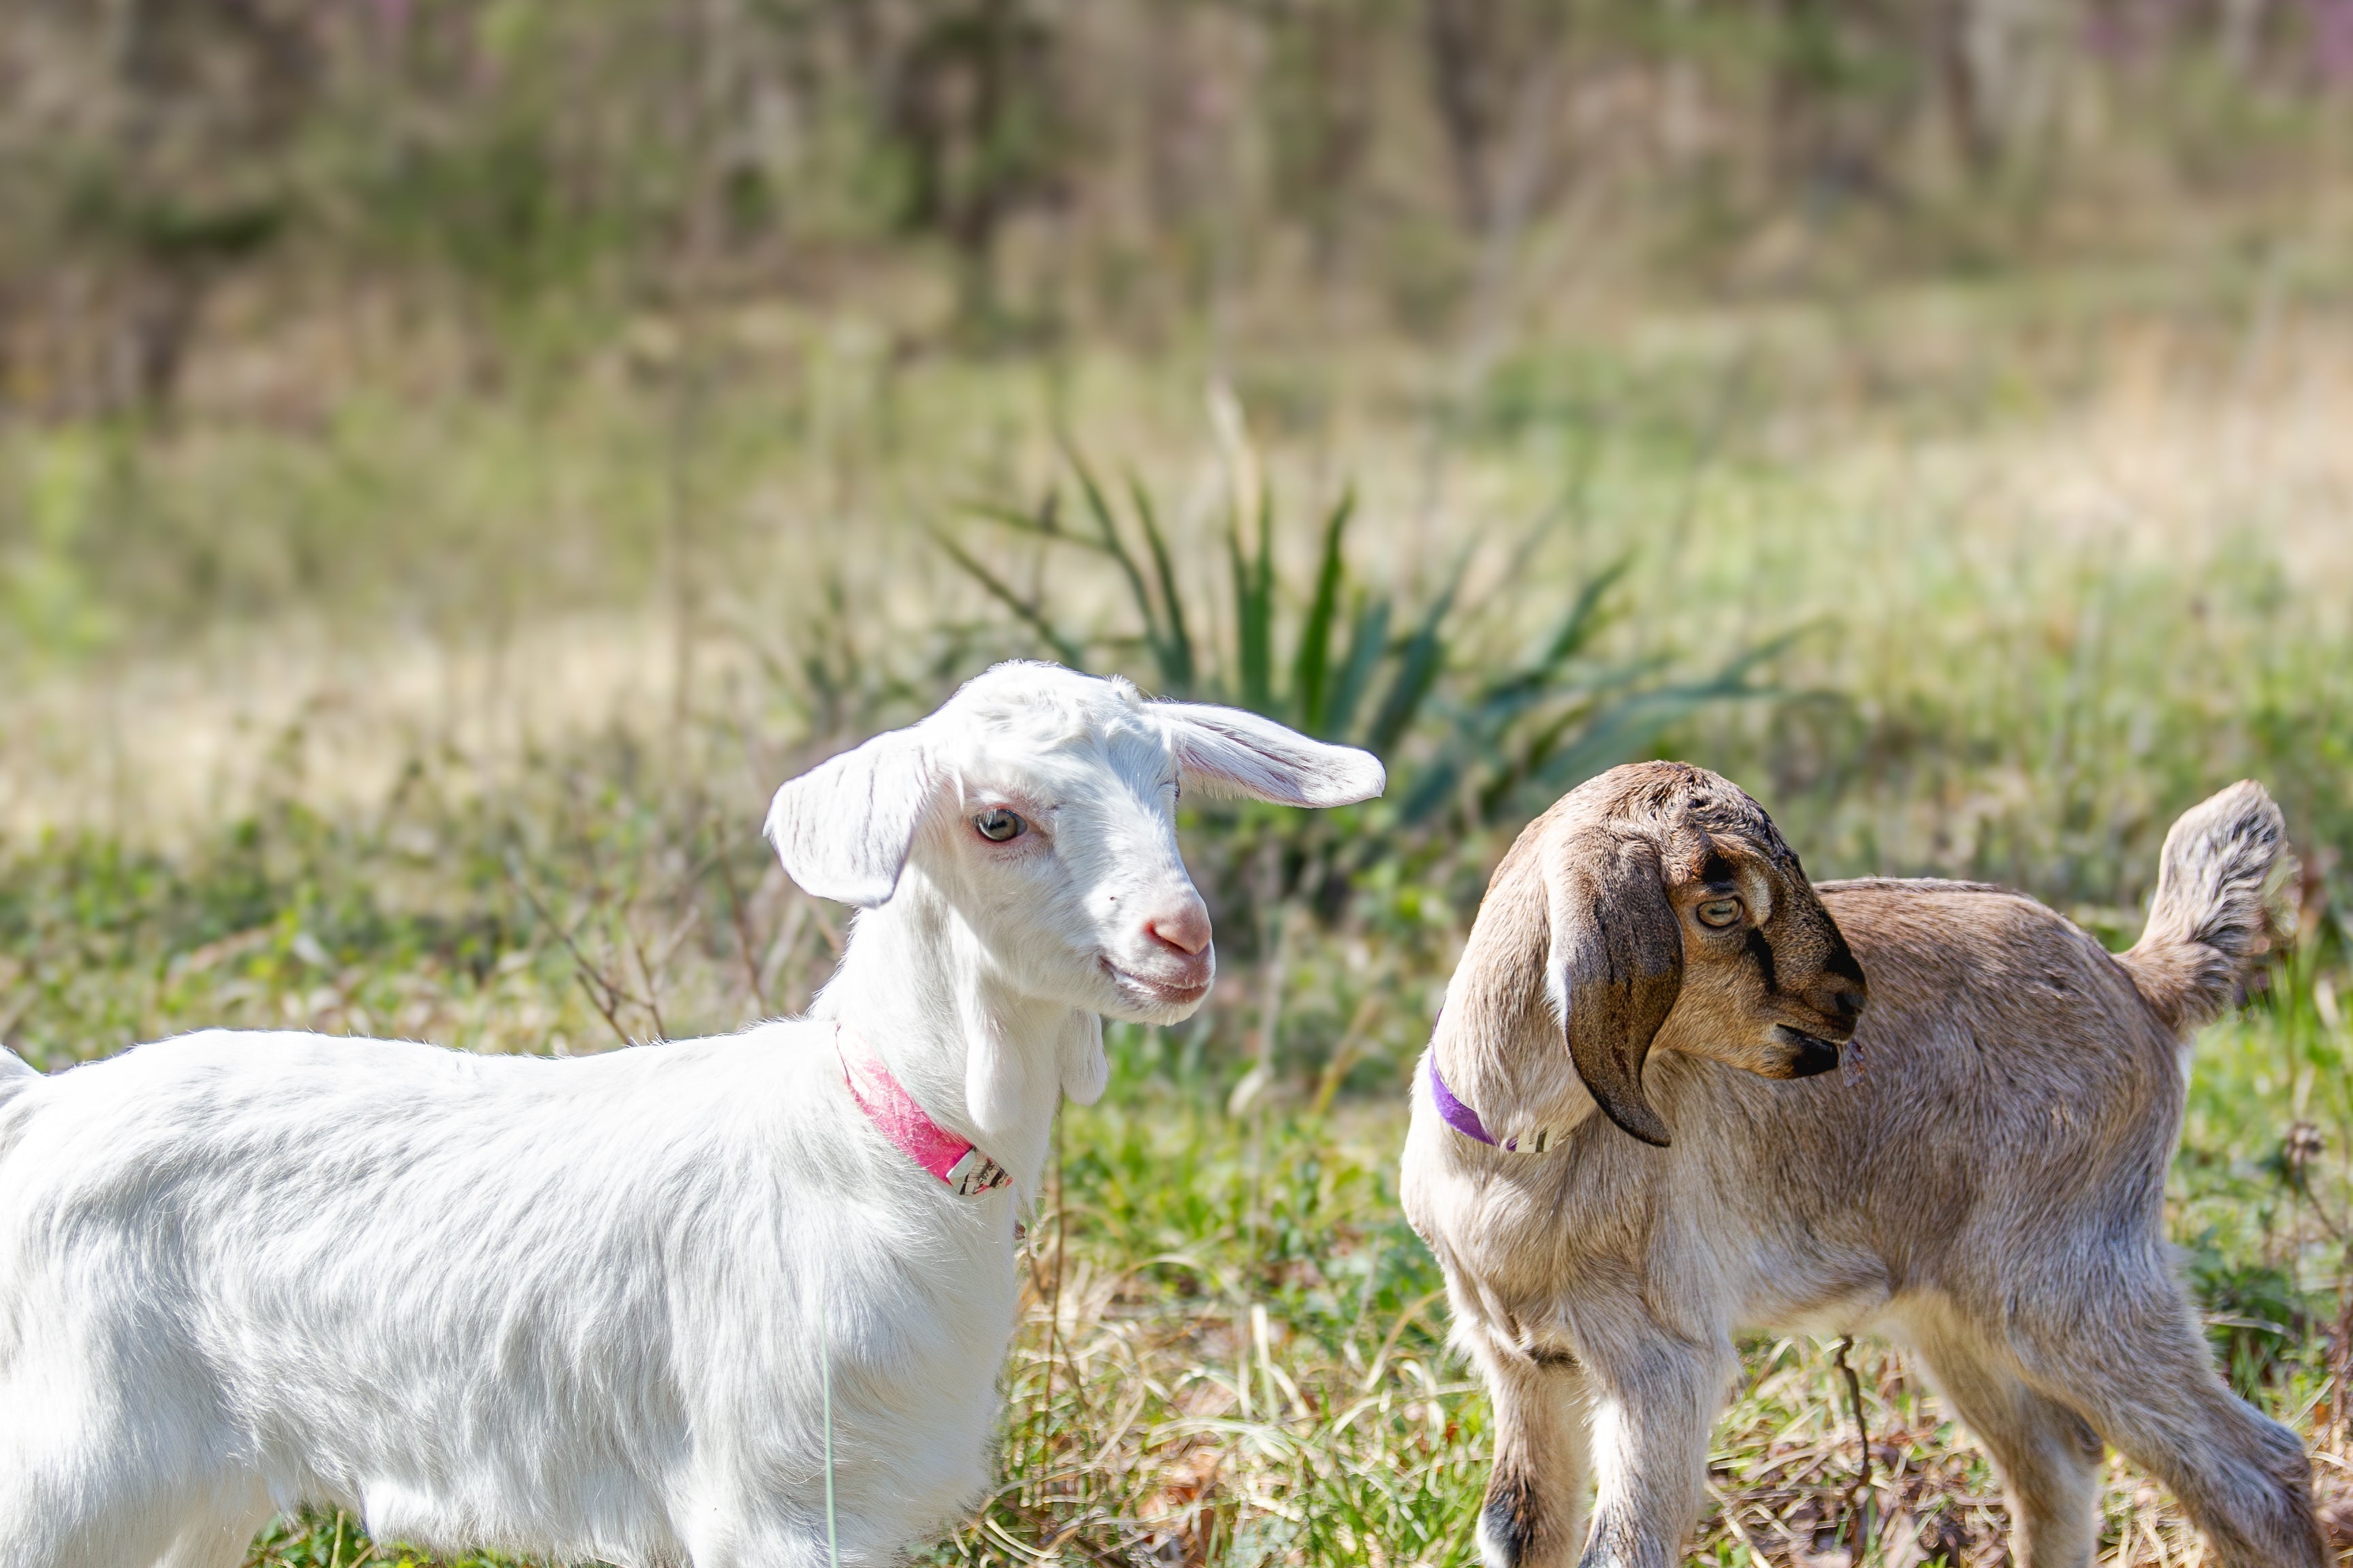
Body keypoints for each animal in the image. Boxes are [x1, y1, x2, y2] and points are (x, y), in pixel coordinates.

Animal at [0, 662, 1383, 1568]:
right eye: (998, 818)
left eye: (1169, 786)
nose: (1181, 938)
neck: (883, 1135)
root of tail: (41, 1101)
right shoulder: (773, 1498)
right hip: (74, 1452)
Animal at [1401, 762, 2324, 1568]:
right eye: (1720, 905)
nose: (1851, 999)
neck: (1512, 1161)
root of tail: (2140, 983)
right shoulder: (1519, 1358)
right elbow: (1521, 1528)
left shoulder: (1664, 1362)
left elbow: (1620, 1548)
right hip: (1954, 1310)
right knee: (2057, 1463)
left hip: (2070, 1277)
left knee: (2261, 1471)